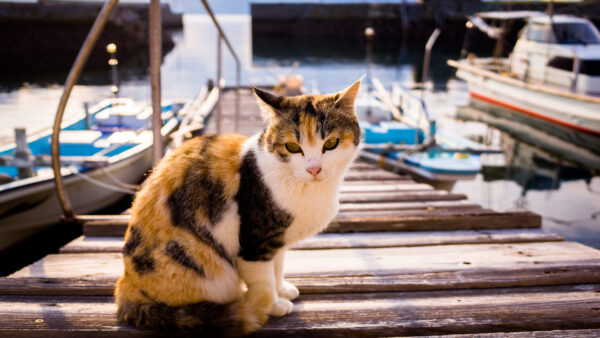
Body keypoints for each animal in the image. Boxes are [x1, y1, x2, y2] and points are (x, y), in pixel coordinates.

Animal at [116, 79, 360, 336]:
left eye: (331, 143)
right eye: (293, 147)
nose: (314, 169)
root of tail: (124, 290)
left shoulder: (277, 240)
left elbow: (277, 267)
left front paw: (282, 289)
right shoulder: (255, 243)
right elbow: (264, 279)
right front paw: (275, 304)